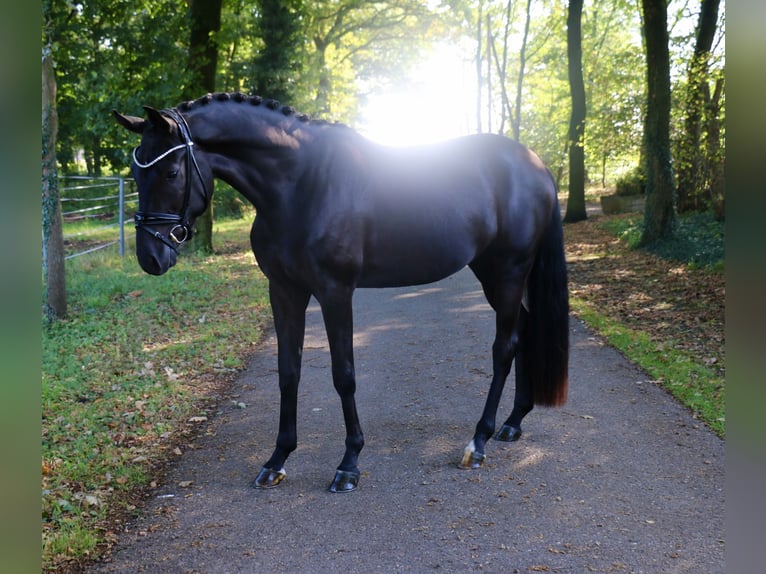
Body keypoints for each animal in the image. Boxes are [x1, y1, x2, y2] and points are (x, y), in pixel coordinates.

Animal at [113, 92, 569, 493]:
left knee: (504, 348)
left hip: (506, 273)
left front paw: (349, 464)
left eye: (171, 172)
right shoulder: (284, 291)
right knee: (524, 333)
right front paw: (277, 460)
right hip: (498, 275)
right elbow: (288, 372)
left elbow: (343, 375)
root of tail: (536, 165)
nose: (150, 257)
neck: (300, 184)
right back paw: (513, 422)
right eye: (136, 175)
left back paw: (479, 440)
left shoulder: (336, 292)